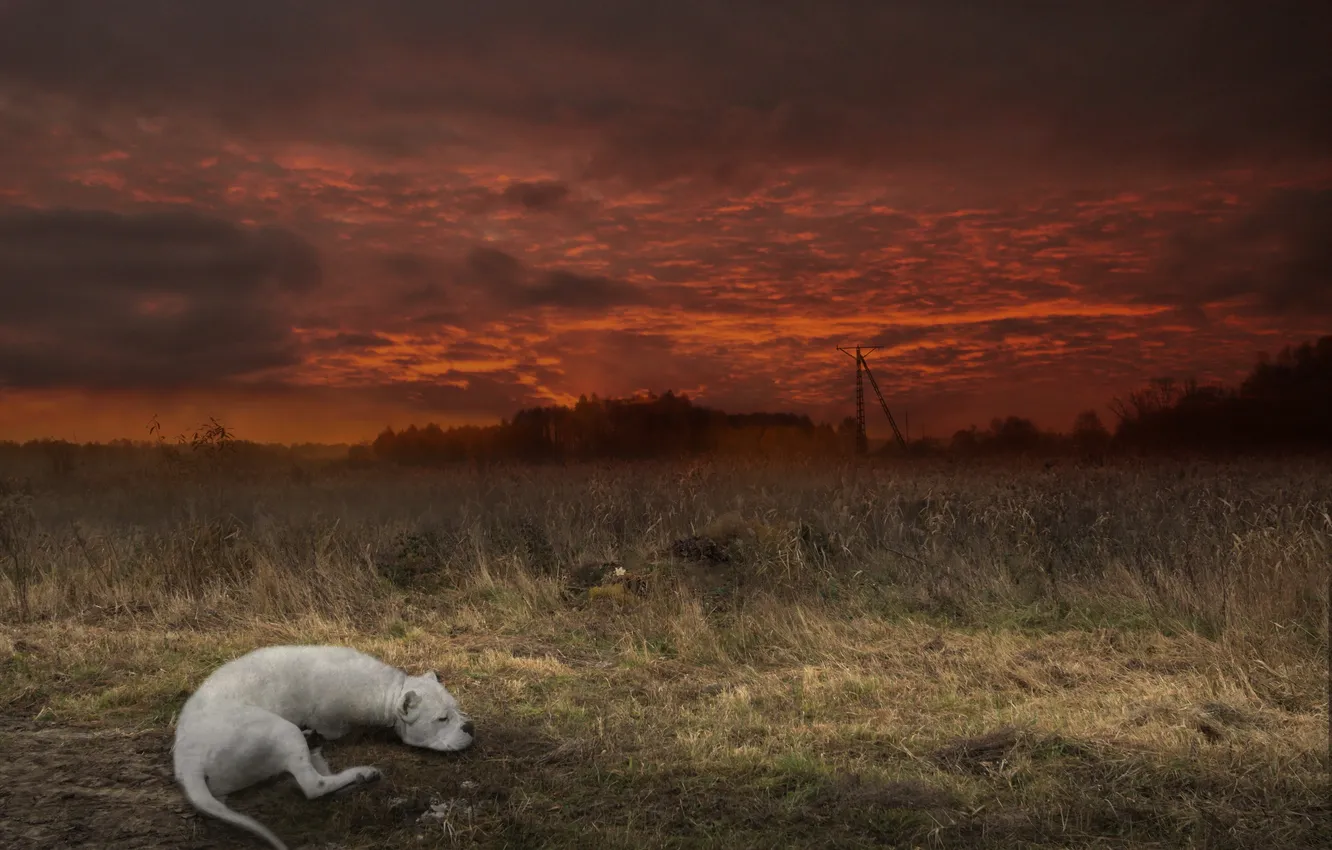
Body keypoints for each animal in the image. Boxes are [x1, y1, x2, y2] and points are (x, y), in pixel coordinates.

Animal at [171, 644, 474, 850]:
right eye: (441, 719)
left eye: (457, 710)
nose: (469, 727)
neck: (387, 691)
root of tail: (188, 762)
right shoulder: (332, 721)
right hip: (282, 730)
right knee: (312, 785)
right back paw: (358, 774)